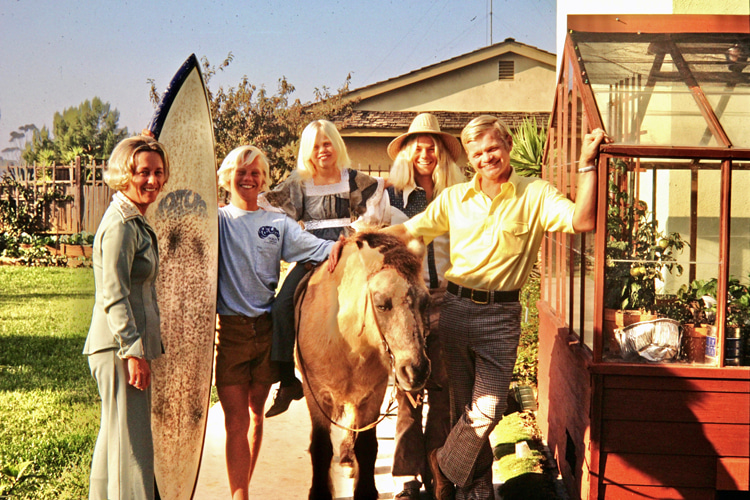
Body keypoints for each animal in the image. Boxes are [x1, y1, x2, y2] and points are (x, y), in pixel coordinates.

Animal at [296, 232, 432, 500]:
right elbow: (321, 445)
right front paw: (320, 491)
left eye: (425, 302)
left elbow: (368, 446)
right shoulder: (315, 393)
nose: (416, 370)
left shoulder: (372, 394)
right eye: (381, 304)